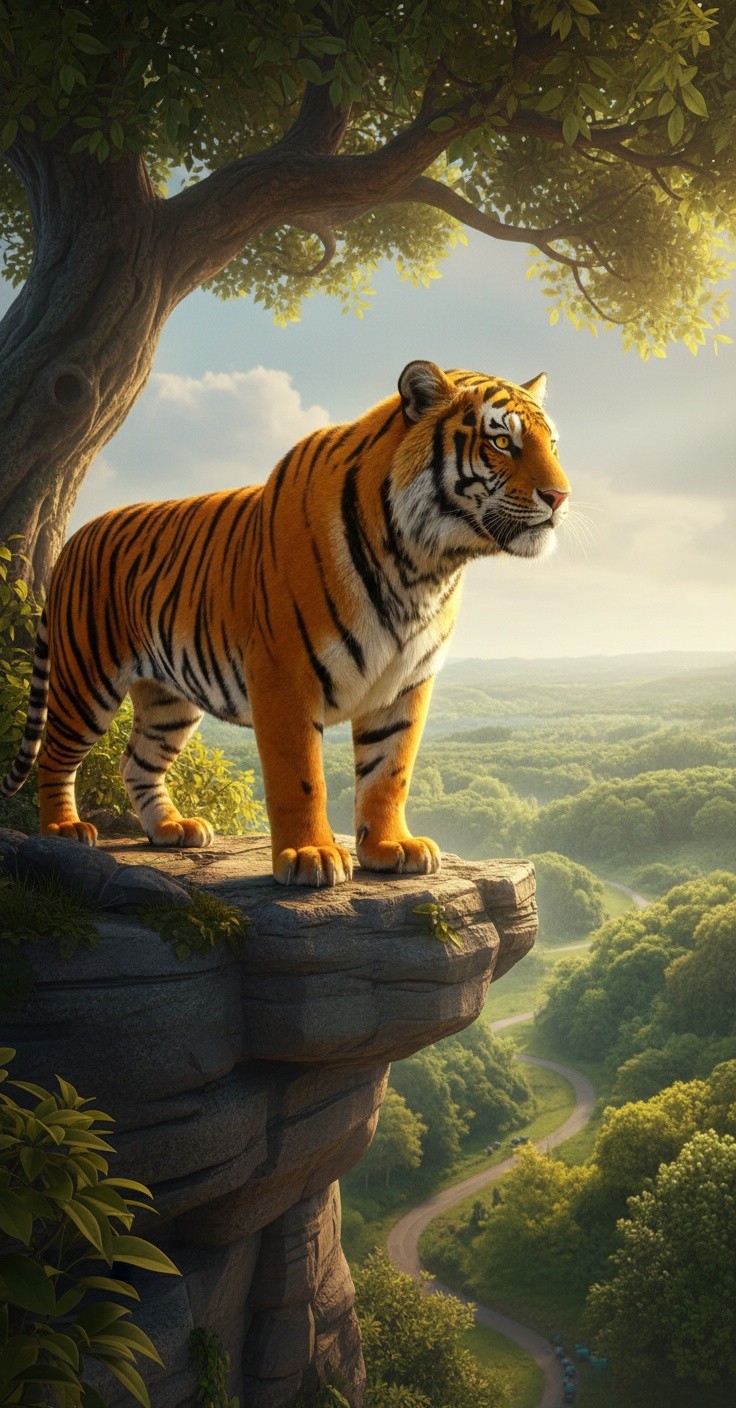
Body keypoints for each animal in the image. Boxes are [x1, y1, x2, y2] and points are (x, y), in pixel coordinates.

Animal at [1, 360, 570, 887]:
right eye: (502, 442)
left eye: (553, 446)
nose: (560, 497)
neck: (424, 566)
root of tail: (77, 536)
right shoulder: (283, 672)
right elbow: (300, 775)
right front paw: (310, 856)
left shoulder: (407, 680)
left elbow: (390, 770)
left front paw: (391, 848)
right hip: (86, 681)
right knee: (55, 755)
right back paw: (64, 830)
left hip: (168, 699)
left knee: (136, 761)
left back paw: (171, 829)